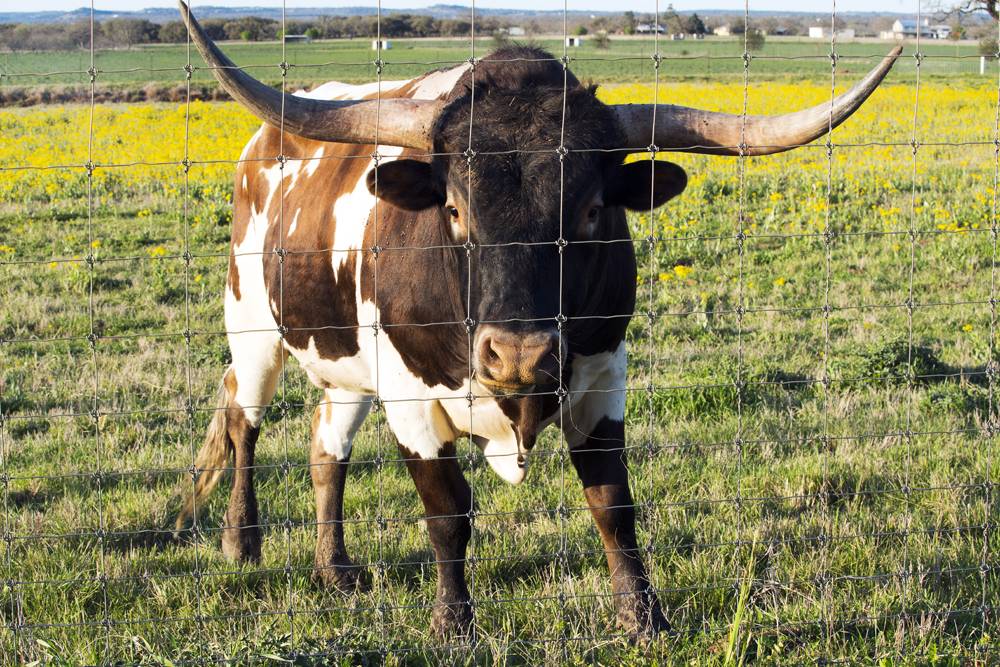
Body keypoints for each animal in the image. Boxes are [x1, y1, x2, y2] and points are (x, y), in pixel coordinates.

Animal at [173, 1, 900, 638]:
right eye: (455, 209)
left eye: (592, 210)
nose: (518, 354)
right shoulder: (410, 395)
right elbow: (448, 510)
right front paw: (453, 624)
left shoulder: (603, 376)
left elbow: (613, 504)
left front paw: (644, 619)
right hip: (253, 330)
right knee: (243, 421)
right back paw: (241, 540)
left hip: (344, 361)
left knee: (327, 447)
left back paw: (337, 570)